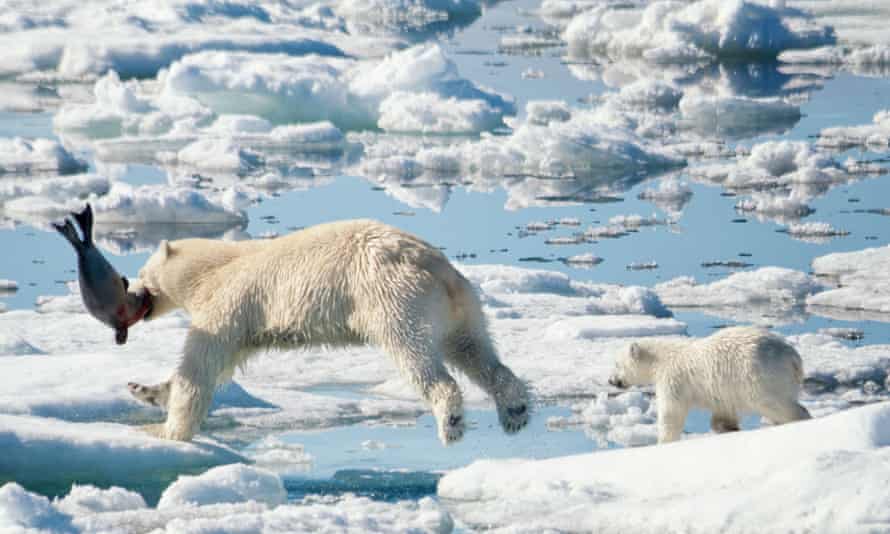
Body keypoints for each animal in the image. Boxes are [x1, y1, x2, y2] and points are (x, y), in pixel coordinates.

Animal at [124, 219, 530, 445]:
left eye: (141, 272)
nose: (129, 289)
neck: (215, 267)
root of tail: (437, 268)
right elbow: (218, 366)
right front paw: (143, 389)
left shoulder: (228, 305)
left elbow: (202, 365)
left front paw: (167, 432)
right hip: (462, 307)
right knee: (474, 350)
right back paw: (515, 411)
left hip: (394, 298)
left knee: (418, 356)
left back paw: (451, 421)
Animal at [608, 326, 810, 443]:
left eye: (617, 364)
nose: (611, 380)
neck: (661, 358)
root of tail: (793, 357)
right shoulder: (722, 389)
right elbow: (722, 414)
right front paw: (728, 428)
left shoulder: (673, 380)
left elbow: (671, 412)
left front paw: (664, 442)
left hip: (758, 376)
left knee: (773, 403)